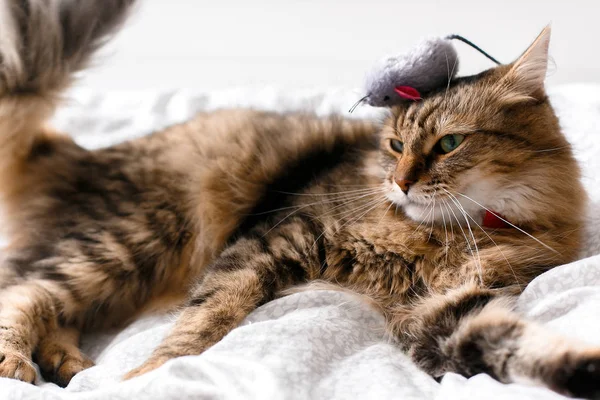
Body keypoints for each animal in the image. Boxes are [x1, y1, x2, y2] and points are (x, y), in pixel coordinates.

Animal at [0, 1, 596, 398]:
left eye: (448, 145)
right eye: (395, 146)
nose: (400, 183)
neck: (444, 233)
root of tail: (78, 151)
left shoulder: (446, 308)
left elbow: (513, 344)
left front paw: (581, 367)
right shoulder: (277, 238)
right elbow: (202, 321)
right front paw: (149, 379)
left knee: (53, 304)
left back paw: (69, 364)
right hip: (138, 239)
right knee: (28, 291)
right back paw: (19, 362)